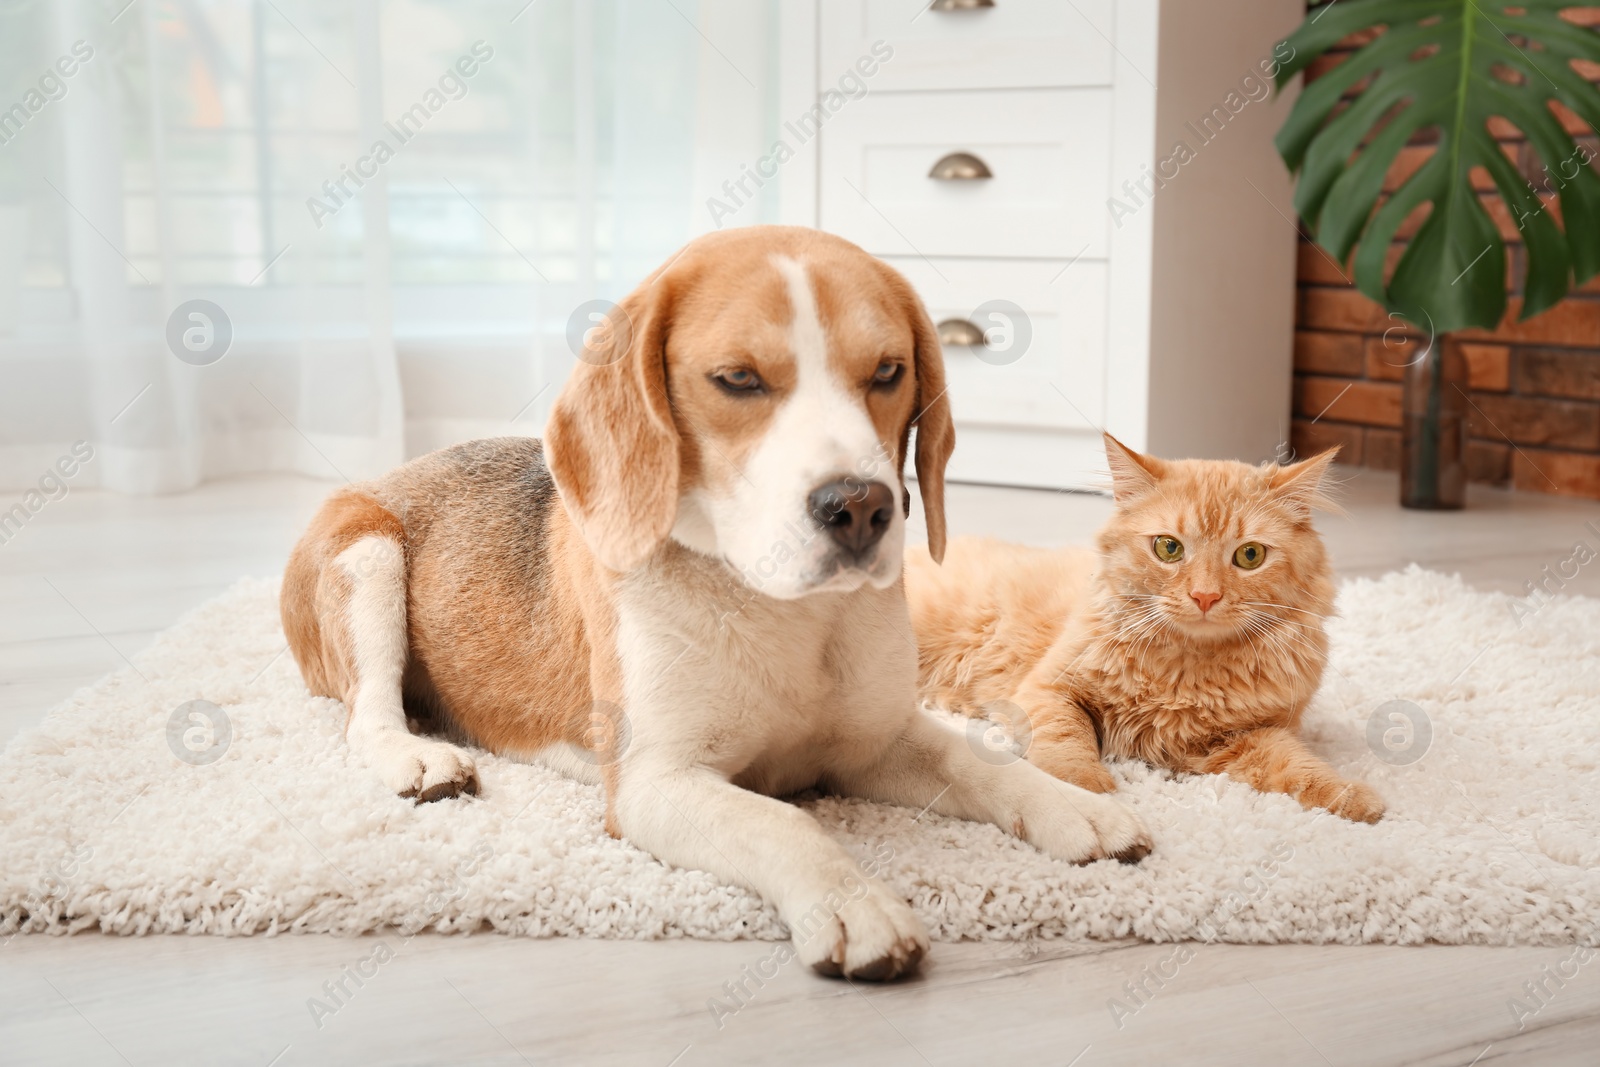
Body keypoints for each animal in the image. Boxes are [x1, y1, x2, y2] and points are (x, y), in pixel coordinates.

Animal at [278, 230, 1152, 979]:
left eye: (887, 370)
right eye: (738, 379)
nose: (861, 507)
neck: (783, 608)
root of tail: (393, 470)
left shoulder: (878, 740)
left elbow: (974, 758)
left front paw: (1074, 805)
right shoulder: (655, 784)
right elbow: (785, 821)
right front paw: (854, 903)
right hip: (369, 555)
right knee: (366, 714)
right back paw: (421, 758)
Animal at [908, 435, 1382, 825]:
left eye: (1249, 556)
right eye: (1168, 548)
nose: (1205, 596)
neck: (1186, 673)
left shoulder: (1248, 736)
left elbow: (1300, 767)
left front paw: (1352, 798)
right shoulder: (1049, 689)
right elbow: (1067, 740)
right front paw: (1086, 791)